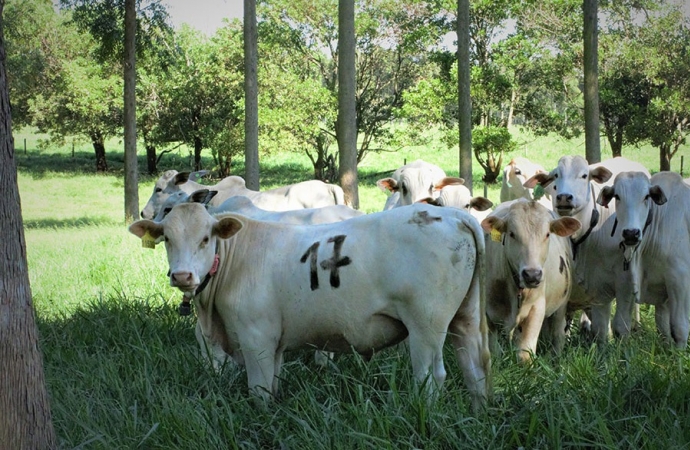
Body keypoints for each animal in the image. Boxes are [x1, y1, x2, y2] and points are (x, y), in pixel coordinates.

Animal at [129, 202, 490, 410]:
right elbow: (273, 385)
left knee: (431, 377)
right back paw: (478, 413)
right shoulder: (273, 342)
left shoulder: (256, 337)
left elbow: (260, 391)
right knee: (475, 371)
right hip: (465, 317)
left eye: (206, 238)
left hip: (426, 324)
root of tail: (454, 213)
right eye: (167, 239)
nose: (182, 275)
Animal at [482, 200, 576, 362]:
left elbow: (525, 354)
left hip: (562, 304)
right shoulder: (489, 313)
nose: (532, 275)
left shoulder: (536, 308)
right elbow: (494, 351)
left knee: (558, 334)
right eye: (512, 234)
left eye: (547, 234)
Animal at [592, 171, 684, 346]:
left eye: (647, 196)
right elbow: (664, 327)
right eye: (617, 196)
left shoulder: (679, 282)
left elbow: (679, 328)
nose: (631, 233)